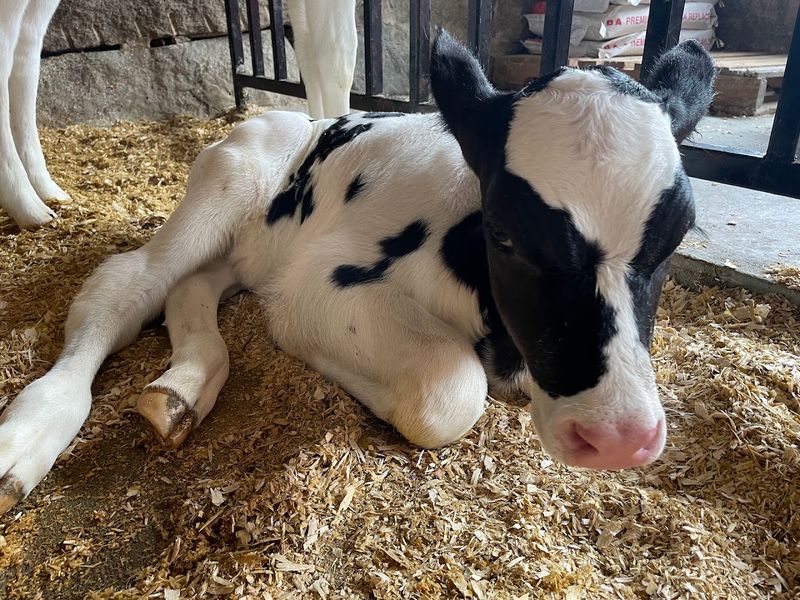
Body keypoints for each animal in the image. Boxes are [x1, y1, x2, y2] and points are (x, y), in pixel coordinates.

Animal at [0, 31, 715, 515]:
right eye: (504, 233)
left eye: (676, 236)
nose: (618, 437)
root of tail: (294, 117)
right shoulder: (317, 286)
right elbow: (449, 392)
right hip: (226, 185)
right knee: (129, 282)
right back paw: (28, 436)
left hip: (242, 248)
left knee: (189, 289)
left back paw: (179, 390)